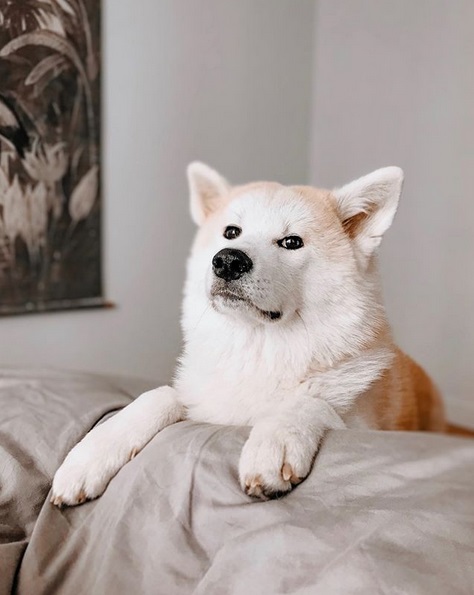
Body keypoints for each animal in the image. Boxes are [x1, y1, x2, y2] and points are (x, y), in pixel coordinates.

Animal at [51, 164, 444, 508]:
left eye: (291, 242)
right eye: (231, 232)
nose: (227, 260)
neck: (257, 349)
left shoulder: (360, 427)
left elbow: (308, 401)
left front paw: (275, 440)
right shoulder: (203, 403)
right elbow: (159, 396)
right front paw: (89, 457)